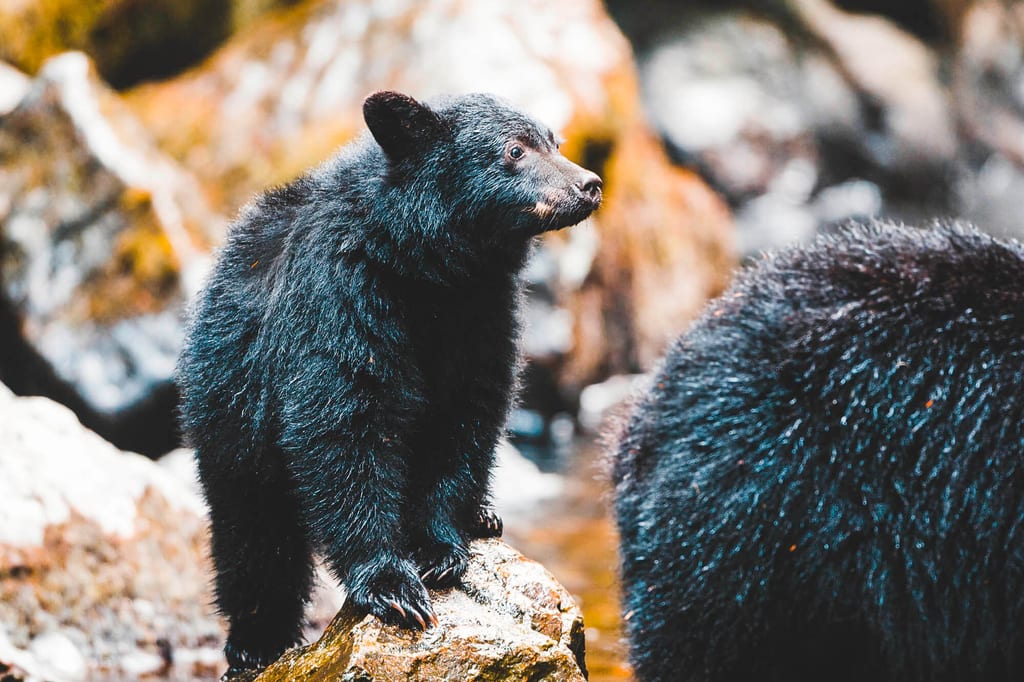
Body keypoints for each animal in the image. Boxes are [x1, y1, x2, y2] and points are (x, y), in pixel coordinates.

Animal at [176, 90, 602, 674]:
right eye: (514, 150)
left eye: (554, 142)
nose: (590, 184)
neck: (423, 268)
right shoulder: (339, 300)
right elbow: (343, 424)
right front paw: (392, 586)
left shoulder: (483, 311)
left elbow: (466, 417)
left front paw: (438, 547)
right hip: (231, 413)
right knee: (255, 536)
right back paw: (254, 642)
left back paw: (483, 514)